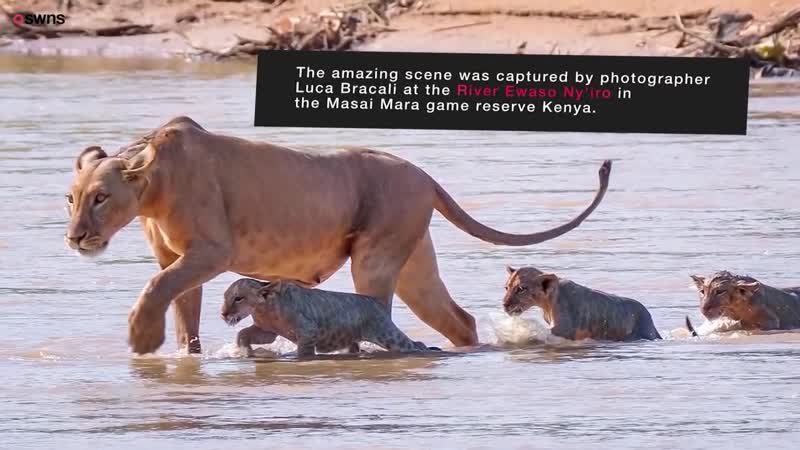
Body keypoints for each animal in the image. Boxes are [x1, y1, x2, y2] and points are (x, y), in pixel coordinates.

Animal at [65, 116, 612, 355]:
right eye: (71, 198)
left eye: (101, 198)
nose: (74, 238)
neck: (152, 186)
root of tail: (424, 175)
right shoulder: (177, 259)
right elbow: (181, 314)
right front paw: (180, 357)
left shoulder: (212, 251)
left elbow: (155, 288)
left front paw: (141, 338)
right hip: (415, 267)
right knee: (459, 320)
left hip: (375, 259)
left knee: (382, 316)